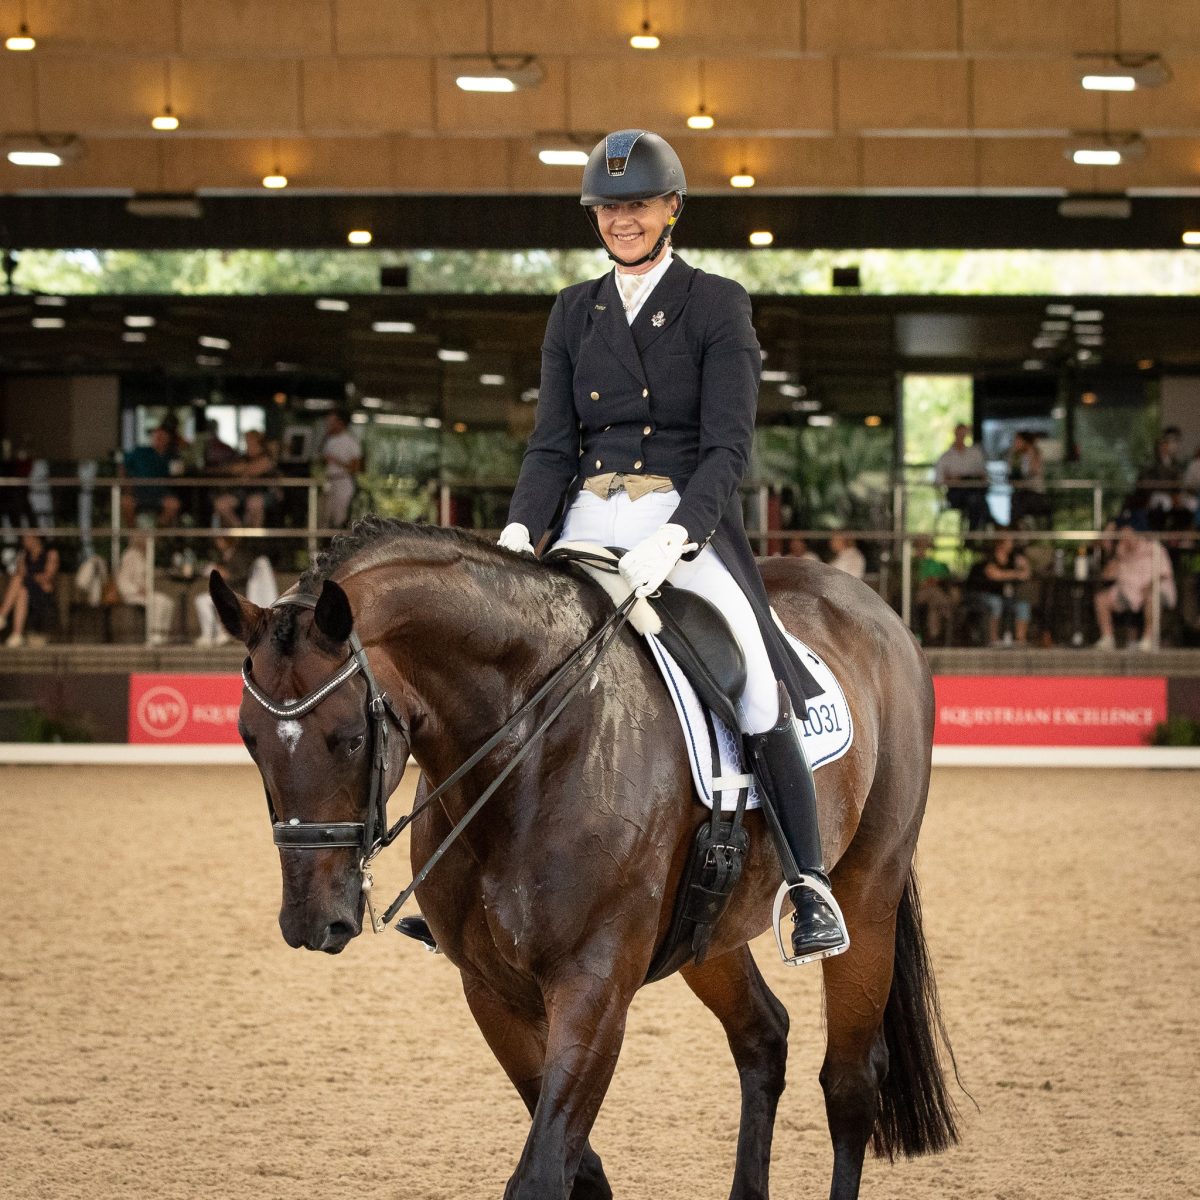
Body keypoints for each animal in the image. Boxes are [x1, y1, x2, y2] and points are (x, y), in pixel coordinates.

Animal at [213, 520, 955, 1200]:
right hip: (708, 930)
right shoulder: (492, 992)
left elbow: (542, 1173)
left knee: (851, 1083)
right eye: (247, 737)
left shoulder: (594, 987)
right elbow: (580, 1168)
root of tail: (867, 602)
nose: (311, 922)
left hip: (869, 892)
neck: (529, 753)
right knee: (762, 1038)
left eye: (346, 738)